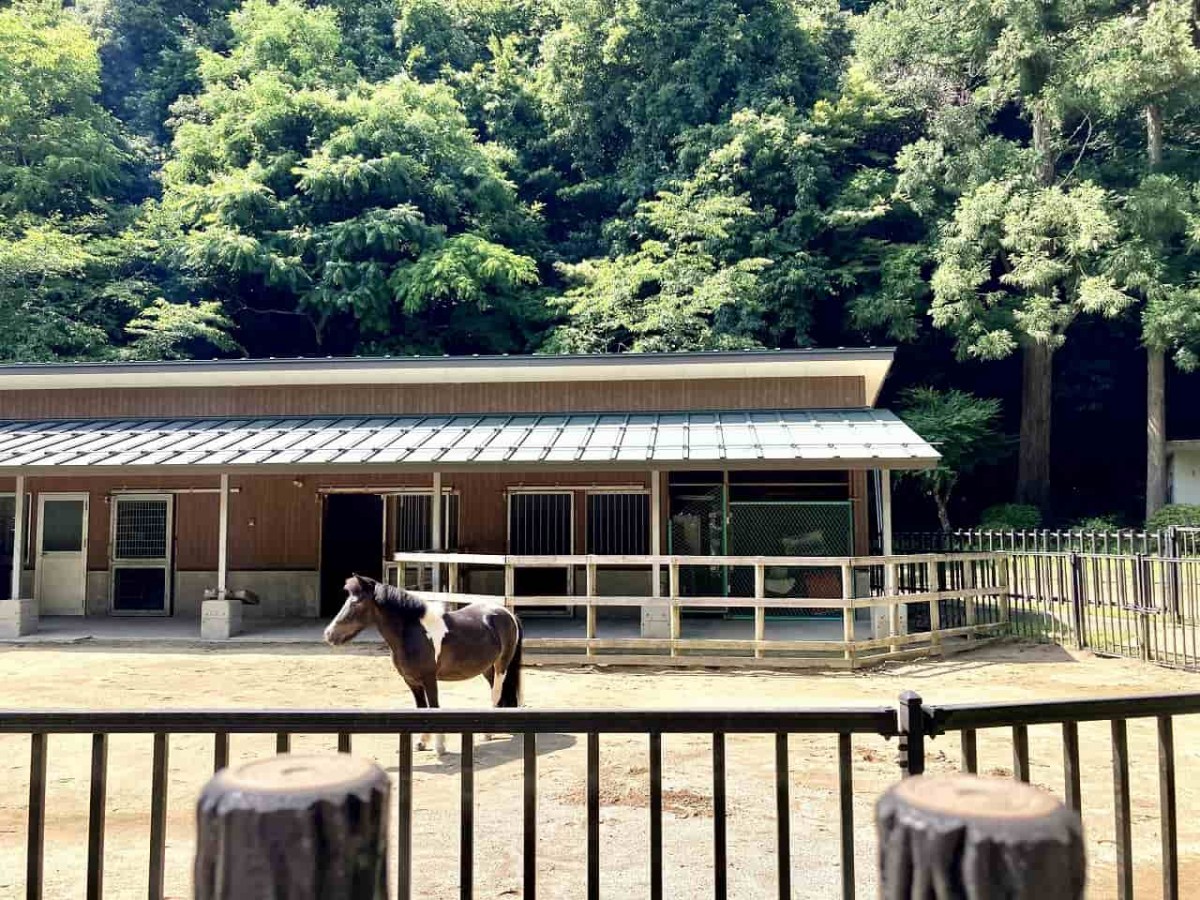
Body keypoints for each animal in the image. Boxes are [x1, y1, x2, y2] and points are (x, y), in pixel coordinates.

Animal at [326, 573, 523, 758]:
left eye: (355, 603)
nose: (329, 634)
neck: (413, 633)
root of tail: (507, 613)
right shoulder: (411, 681)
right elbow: (421, 709)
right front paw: (421, 743)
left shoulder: (429, 679)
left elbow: (434, 707)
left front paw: (440, 748)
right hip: (487, 668)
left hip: (501, 666)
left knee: (496, 692)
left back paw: (487, 734)